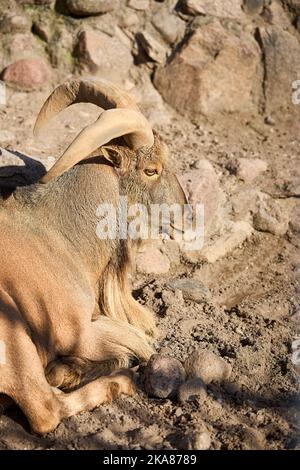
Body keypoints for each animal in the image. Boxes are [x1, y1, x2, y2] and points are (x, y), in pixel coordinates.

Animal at [0, 78, 189, 434]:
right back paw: (119, 383)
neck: (59, 234)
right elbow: (135, 349)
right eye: (151, 170)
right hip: (15, 340)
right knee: (46, 411)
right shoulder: (80, 333)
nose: (185, 213)